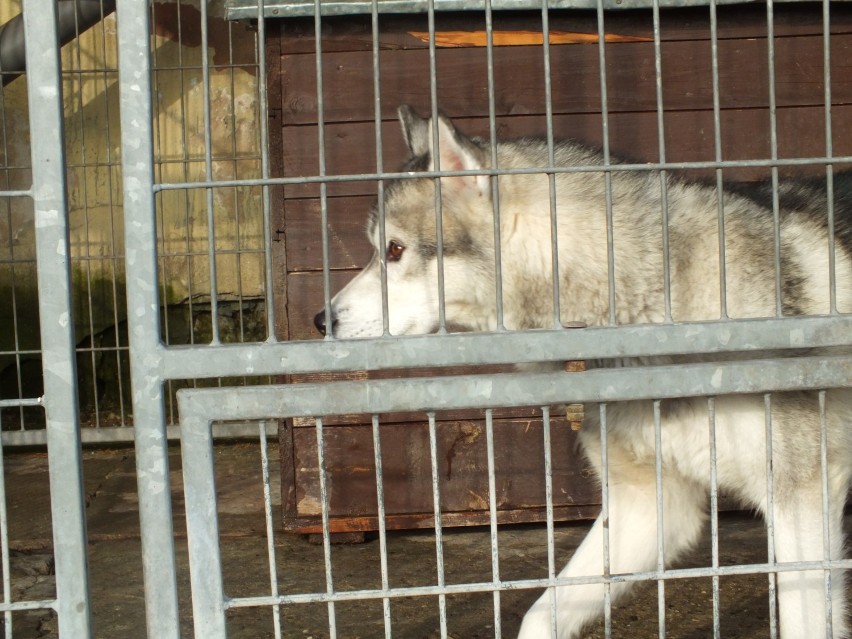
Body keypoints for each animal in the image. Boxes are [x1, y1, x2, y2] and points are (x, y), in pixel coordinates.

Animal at [312, 107, 852, 636]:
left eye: (395, 250)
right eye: (377, 249)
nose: (322, 320)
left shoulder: (800, 502)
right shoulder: (647, 507)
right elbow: (539, 615)